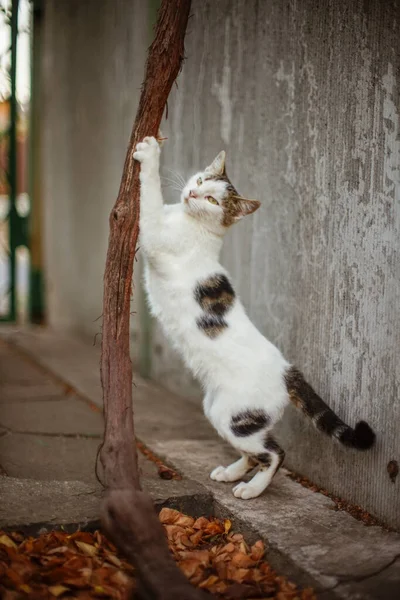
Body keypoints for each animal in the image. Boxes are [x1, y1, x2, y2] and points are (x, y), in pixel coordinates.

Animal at [134, 138, 376, 500]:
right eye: (201, 181)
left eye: (212, 201)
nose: (192, 193)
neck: (190, 221)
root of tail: (288, 371)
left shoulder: (156, 238)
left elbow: (148, 199)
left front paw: (149, 154)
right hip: (221, 412)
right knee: (255, 452)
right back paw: (232, 473)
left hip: (235, 418)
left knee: (275, 454)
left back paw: (252, 489)